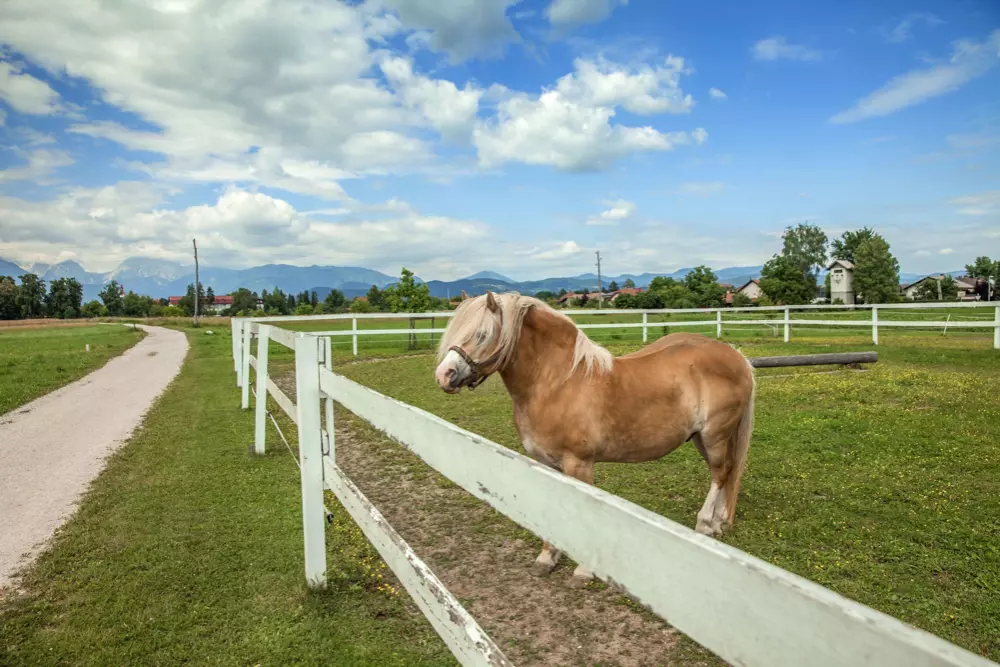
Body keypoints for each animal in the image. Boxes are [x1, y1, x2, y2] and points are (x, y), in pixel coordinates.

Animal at [434, 292, 752, 584]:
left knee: (720, 473)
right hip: (701, 438)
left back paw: (704, 525)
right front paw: (547, 558)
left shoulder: (580, 464)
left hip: (714, 435)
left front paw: (584, 570)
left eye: (482, 334)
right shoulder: (546, 464)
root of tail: (737, 356)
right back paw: (717, 524)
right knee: (725, 473)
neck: (558, 382)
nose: (444, 375)